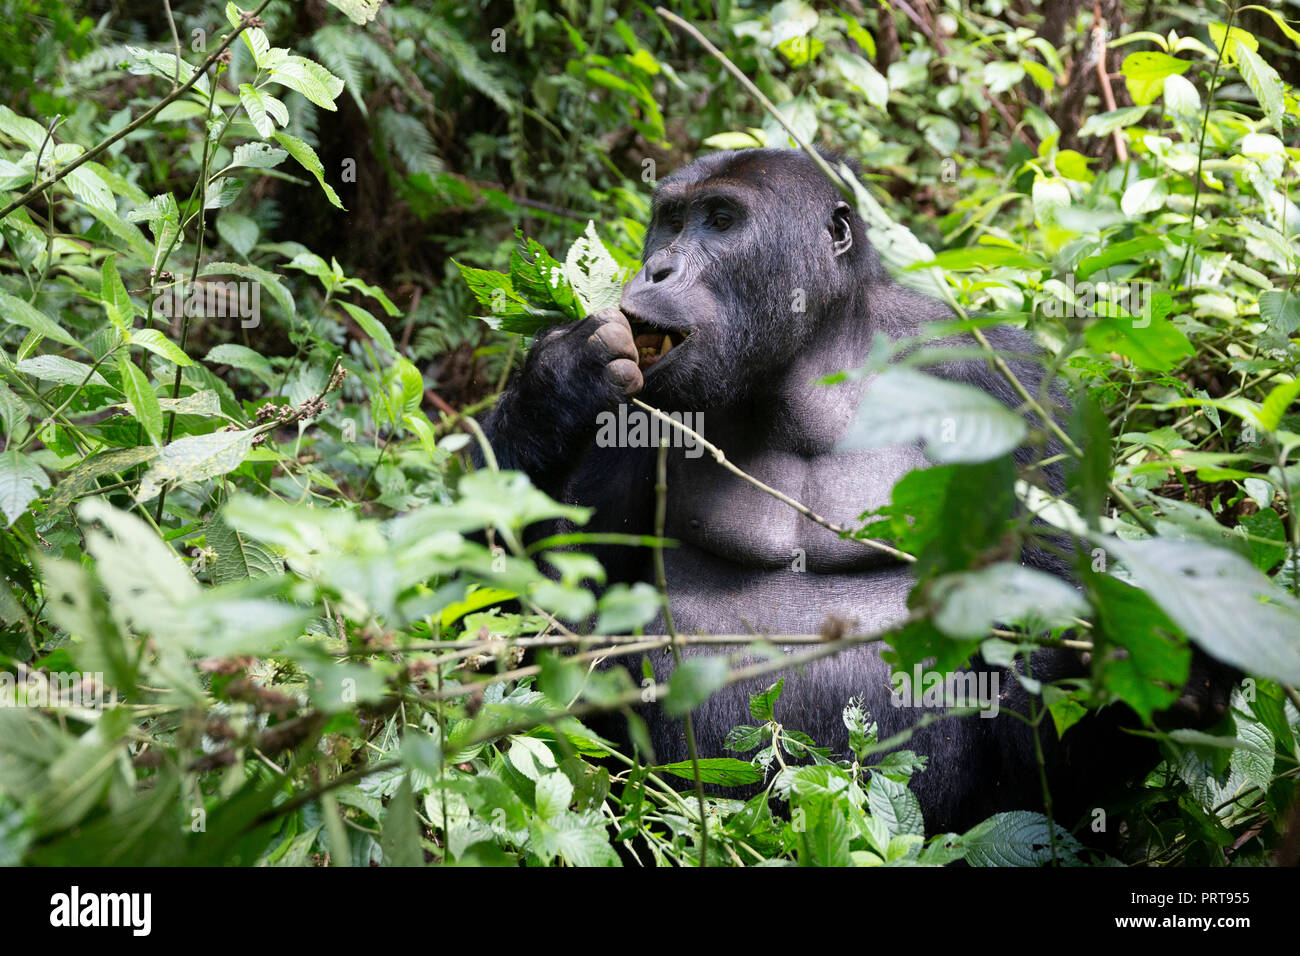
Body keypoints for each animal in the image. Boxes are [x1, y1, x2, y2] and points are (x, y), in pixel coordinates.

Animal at [480, 145, 1227, 832]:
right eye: (668, 223)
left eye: (720, 221)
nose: (657, 270)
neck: (815, 365)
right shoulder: (638, 408)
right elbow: (545, 601)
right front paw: (558, 384)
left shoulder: (1013, 392)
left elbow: (1035, 728)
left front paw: (1154, 684)